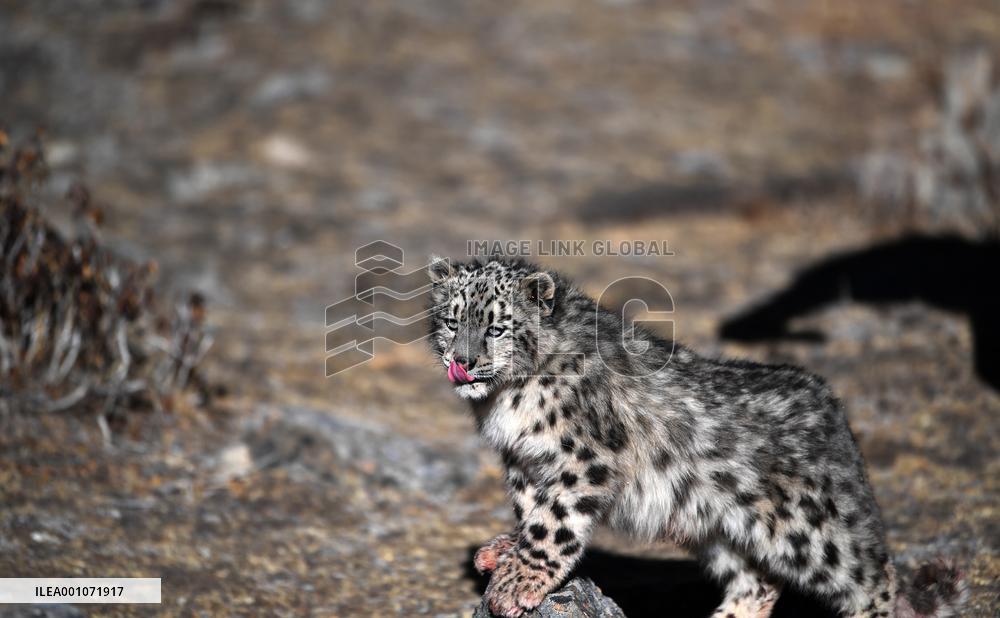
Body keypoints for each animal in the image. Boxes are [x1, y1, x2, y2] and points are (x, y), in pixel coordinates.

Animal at [426, 256, 967, 618]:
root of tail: (837, 414)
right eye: (452, 321)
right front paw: (504, 551)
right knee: (758, 584)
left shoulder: (584, 459)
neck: (506, 400)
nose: (463, 362)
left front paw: (518, 581)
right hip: (719, 530)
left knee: (875, 578)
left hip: (809, 531)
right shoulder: (524, 462)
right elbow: (529, 511)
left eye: (496, 327)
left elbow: (552, 523)